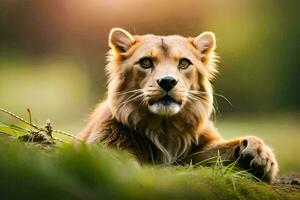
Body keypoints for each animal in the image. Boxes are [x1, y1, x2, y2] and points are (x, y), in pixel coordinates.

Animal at [79, 27, 278, 183]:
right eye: (146, 62)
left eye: (183, 63)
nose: (167, 81)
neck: (164, 127)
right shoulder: (106, 145)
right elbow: (120, 165)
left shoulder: (195, 154)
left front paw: (260, 156)